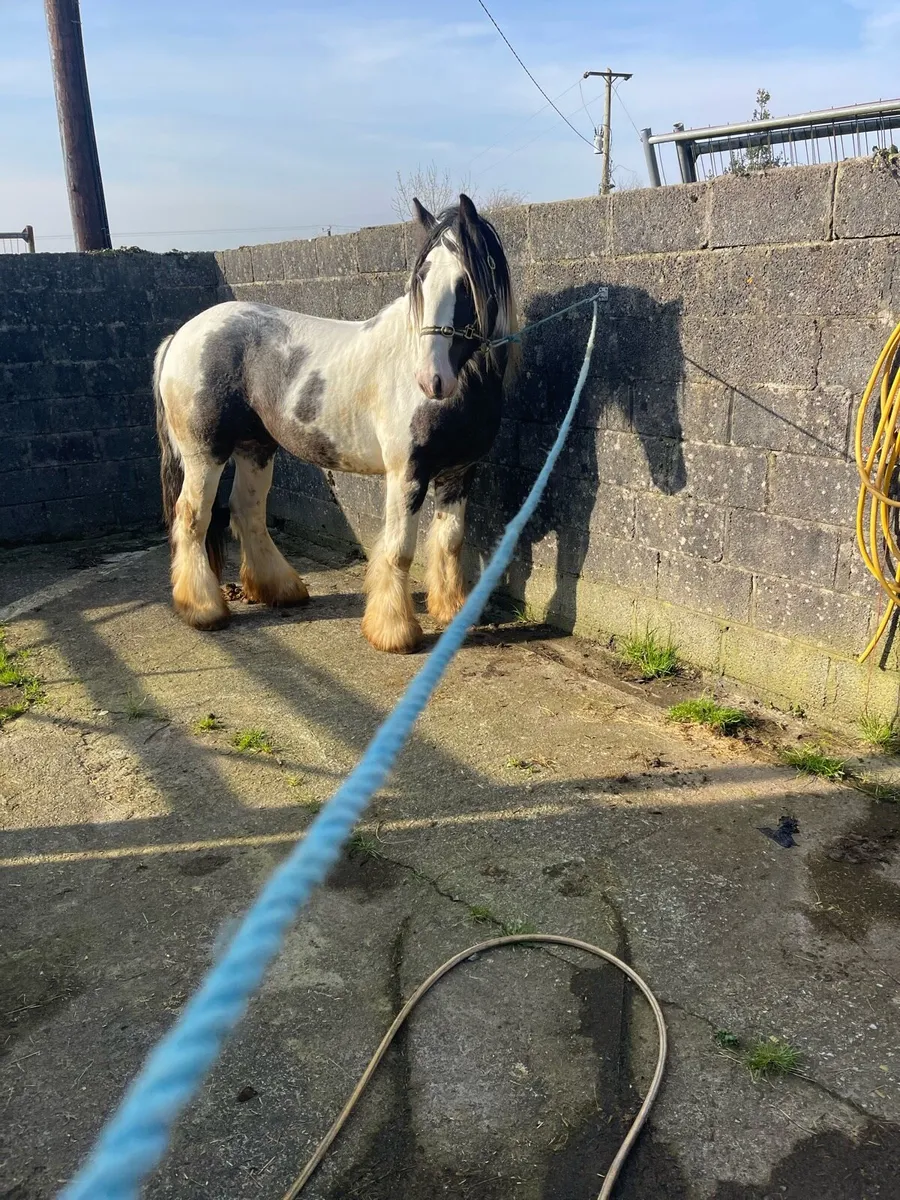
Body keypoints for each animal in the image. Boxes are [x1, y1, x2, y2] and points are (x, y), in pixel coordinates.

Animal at [153, 193, 518, 653]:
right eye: (420, 280)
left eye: (465, 284)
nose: (431, 380)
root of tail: (181, 336)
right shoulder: (408, 473)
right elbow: (400, 549)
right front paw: (394, 632)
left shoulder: (459, 472)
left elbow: (450, 541)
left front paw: (452, 612)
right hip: (206, 454)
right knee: (192, 517)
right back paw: (203, 610)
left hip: (256, 448)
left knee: (246, 510)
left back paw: (281, 590)